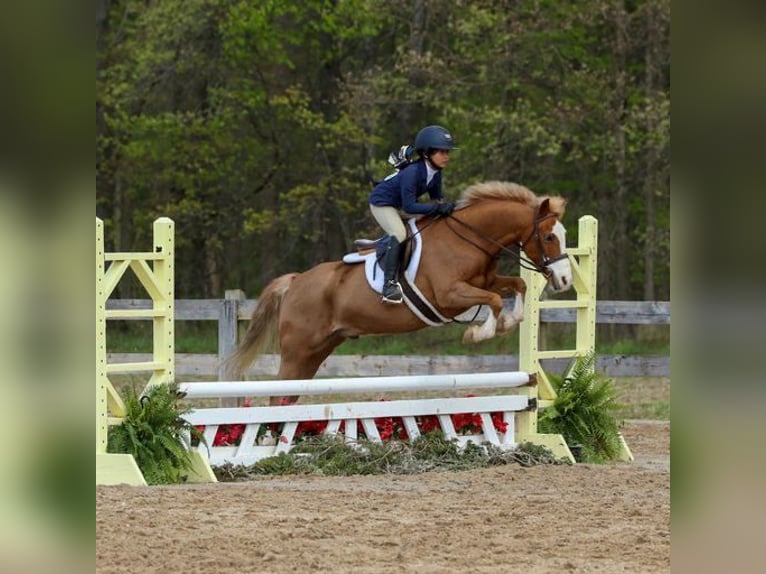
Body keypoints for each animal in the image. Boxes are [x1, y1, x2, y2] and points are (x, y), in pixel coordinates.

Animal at [225, 181, 572, 404]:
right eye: (549, 236)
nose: (566, 279)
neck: (469, 239)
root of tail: (296, 281)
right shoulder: (449, 296)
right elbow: (495, 299)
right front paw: (479, 332)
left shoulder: (484, 281)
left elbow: (516, 286)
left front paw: (510, 322)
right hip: (298, 349)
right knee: (278, 394)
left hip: (317, 350)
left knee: (288, 395)